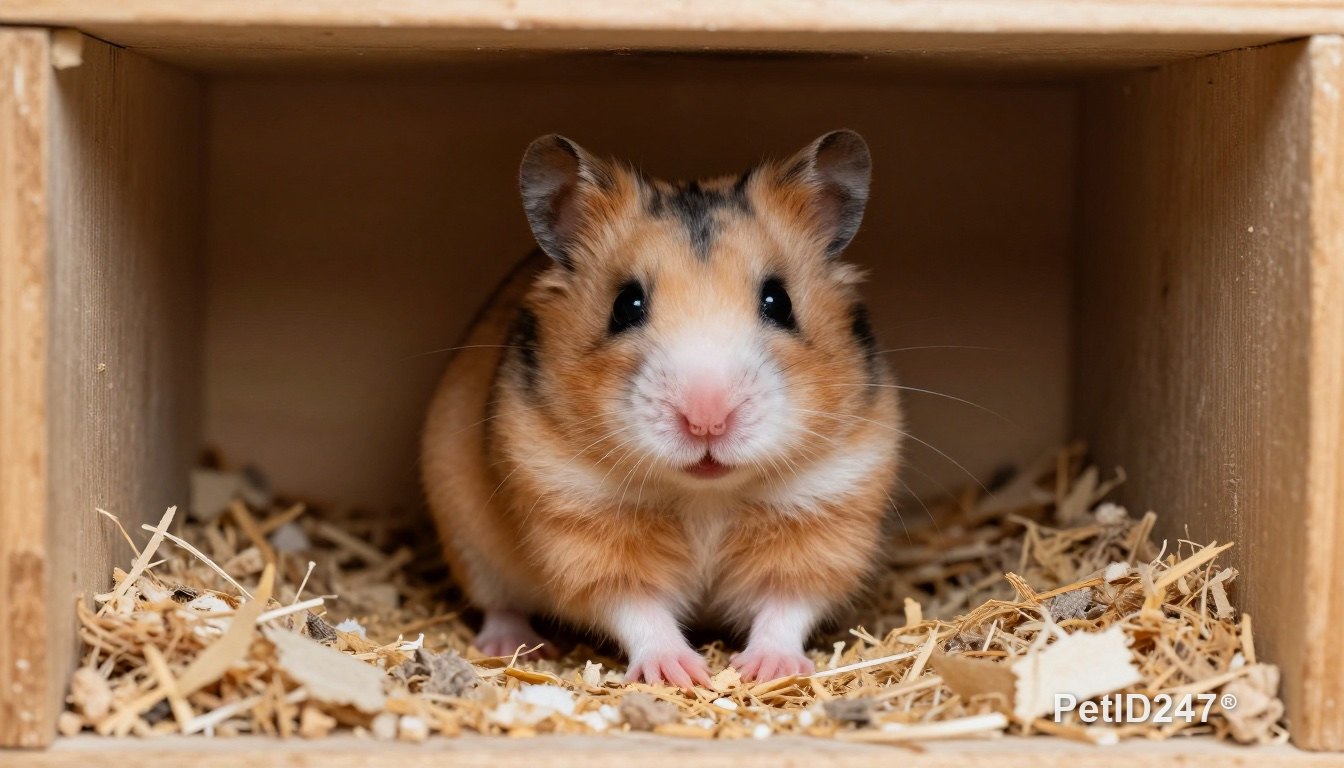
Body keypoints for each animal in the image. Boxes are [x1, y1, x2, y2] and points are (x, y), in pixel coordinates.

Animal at [421, 130, 902, 687]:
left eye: (778, 301)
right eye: (625, 305)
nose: (706, 419)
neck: (705, 496)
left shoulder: (829, 511)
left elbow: (786, 605)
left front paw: (764, 671)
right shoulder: (577, 526)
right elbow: (638, 608)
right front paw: (681, 673)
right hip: (469, 542)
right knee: (500, 604)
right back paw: (514, 644)